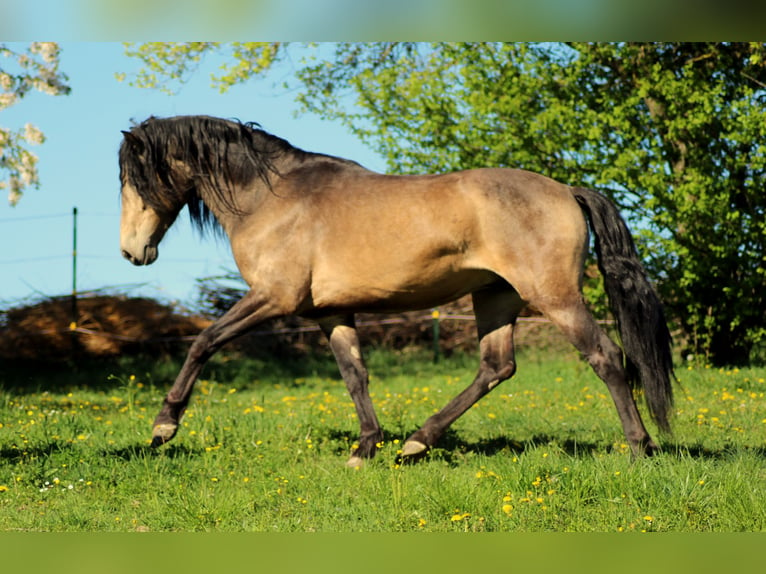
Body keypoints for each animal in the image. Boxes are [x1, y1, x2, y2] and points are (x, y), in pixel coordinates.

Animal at [117, 116, 676, 468]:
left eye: (134, 178)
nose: (132, 251)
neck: (272, 198)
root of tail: (567, 190)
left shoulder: (275, 298)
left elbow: (203, 342)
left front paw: (164, 426)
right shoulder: (331, 312)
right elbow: (355, 376)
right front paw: (365, 449)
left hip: (555, 297)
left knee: (606, 357)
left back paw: (639, 449)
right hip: (496, 297)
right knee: (496, 368)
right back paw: (416, 444)